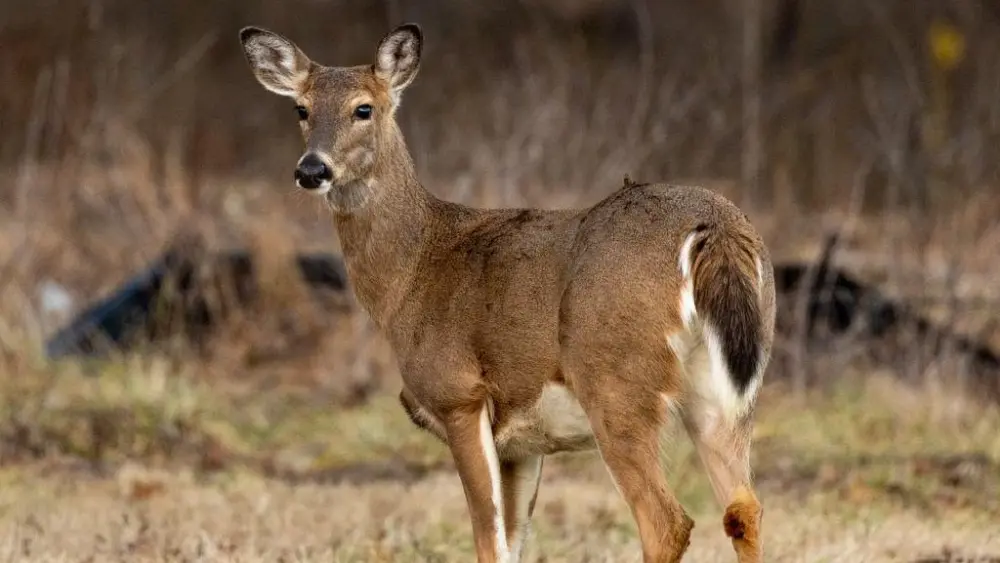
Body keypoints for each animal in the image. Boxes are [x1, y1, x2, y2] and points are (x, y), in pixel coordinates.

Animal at [239, 22, 776, 563]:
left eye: (363, 108)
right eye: (301, 109)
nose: (312, 170)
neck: (412, 271)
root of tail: (716, 228)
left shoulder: (459, 394)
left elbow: (488, 538)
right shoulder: (522, 443)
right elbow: (512, 542)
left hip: (615, 379)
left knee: (666, 521)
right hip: (726, 394)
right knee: (743, 510)